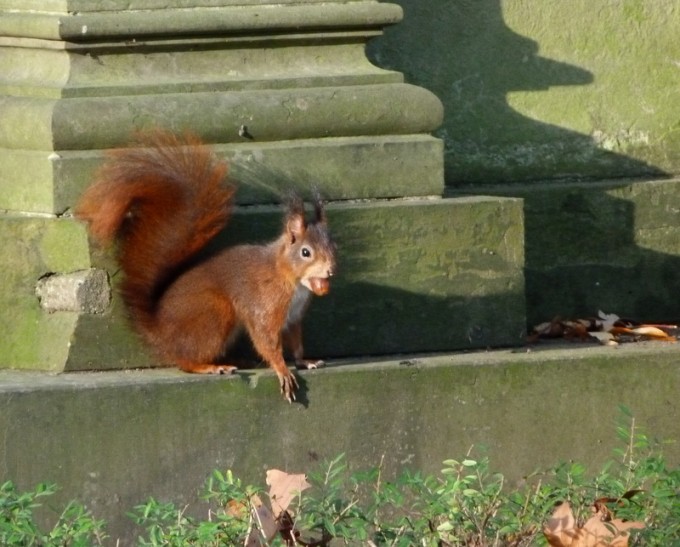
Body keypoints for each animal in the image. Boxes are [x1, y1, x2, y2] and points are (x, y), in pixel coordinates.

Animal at [75, 130, 336, 402]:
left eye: (334, 245)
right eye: (306, 252)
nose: (330, 270)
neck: (291, 280)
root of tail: (158, 331)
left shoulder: (293, 318)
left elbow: (296, 342)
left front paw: (305, 361)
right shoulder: (265, 305)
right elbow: (266, 340)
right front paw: (282, 369)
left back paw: (235, 359)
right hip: (215, 314)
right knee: (185, 361)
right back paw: (210, 366)